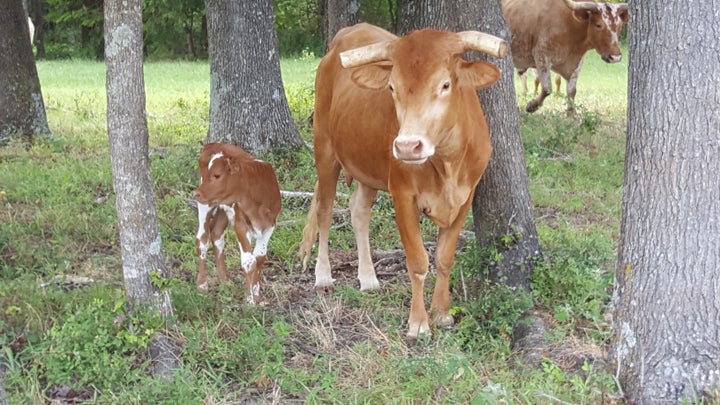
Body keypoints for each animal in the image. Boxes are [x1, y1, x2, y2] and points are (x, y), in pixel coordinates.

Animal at [191, 142, 282, 304]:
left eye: (217, 175)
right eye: (207, 174)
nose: (196, 193)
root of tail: (213, 143)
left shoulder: (270, 225)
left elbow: (260, 257)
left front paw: (256, 295)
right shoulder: (241, 224)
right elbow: (248, 261)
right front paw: (250, 301)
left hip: (222, 208)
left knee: (217, 235)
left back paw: (225, 281)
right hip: (206, 206)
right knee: (202, 239)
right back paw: (202, 286)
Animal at [296, 21, 504, 338]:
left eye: (445, 84)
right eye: (392, 87)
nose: (407, 146)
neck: (446, 164)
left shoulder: (466, 196)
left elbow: (444, 257)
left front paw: (441, 313)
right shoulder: (403, 195)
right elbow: (417, 261)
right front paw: (418, 322)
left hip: (366, 166)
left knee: (358, 210)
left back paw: (368, 278)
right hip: (324, 148)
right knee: (325, 211)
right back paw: (323, 276)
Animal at [500, 0, 632, 112]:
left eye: (619, 26)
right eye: (598, 25)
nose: (615, 57)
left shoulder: (577, 62)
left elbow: (571, 91)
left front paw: (571, 114)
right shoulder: (541, 56)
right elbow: (547, 88)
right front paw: (532, 106)